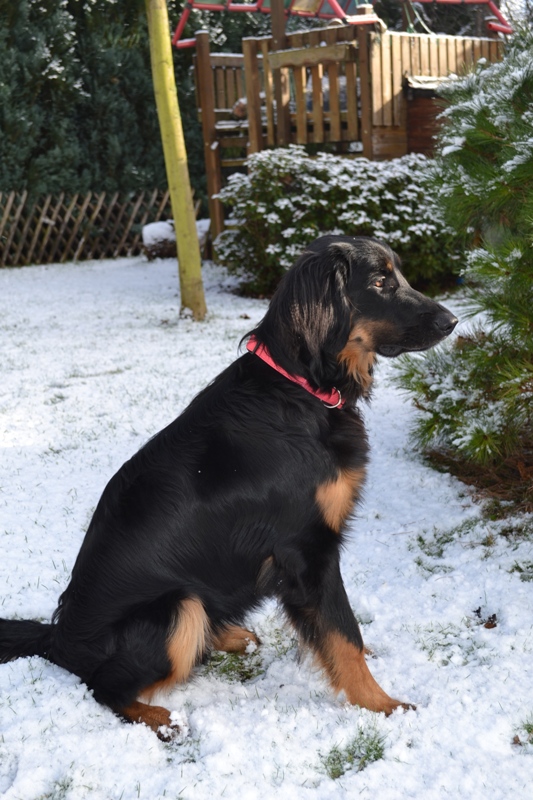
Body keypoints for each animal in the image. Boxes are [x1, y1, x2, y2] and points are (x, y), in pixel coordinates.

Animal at [0, 235, 457, 738]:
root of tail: (58, 638)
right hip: (179, 607)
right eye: (379, 282)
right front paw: (381, 704)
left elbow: (338, 629)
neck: (299, 386)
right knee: (104, 687)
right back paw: (161, 719)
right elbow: (344, 632)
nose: (453, 321)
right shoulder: (307, 551)